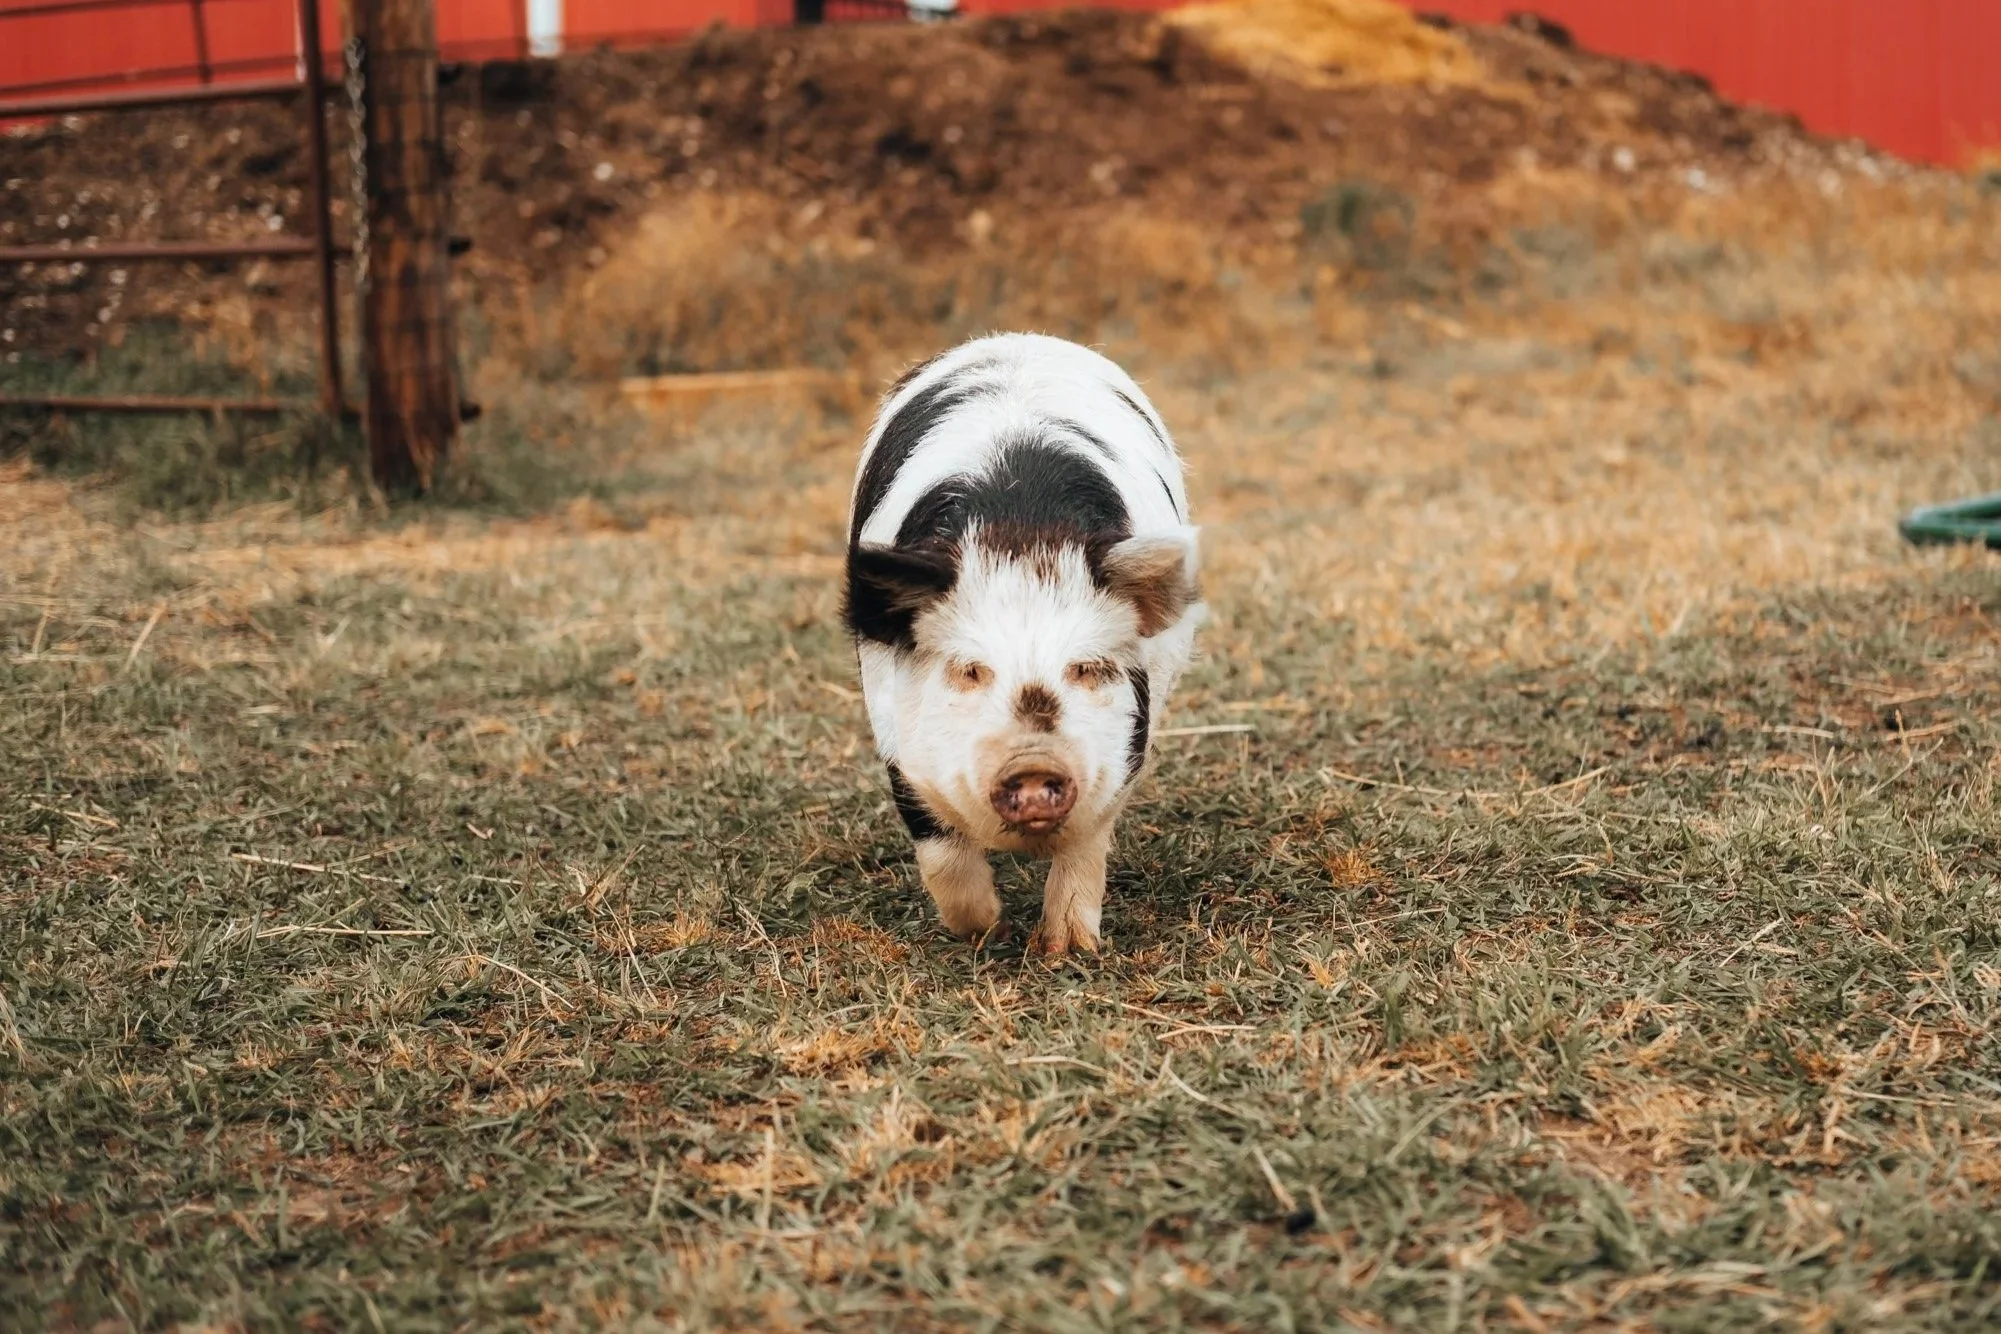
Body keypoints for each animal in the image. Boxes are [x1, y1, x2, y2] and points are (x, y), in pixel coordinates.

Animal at [844, 333, 1201, 955]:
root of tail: (1016, 339)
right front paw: (988, 932)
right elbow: (939, 846)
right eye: (970, 670)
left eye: (1086, 668)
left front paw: (1068, 949)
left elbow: (1086, 845)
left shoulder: (1125, 747)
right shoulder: (895, 735)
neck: (1019, 530)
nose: (1033, 763)